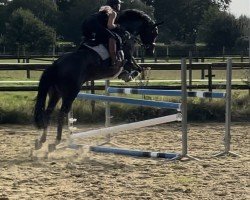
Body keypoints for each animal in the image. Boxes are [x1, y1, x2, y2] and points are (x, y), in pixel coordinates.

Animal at [33, 9, 162, 150]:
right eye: (154, 32)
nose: (151, 49)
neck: (126, 34)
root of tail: (56, 64)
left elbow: (138, 68)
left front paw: (127, 75)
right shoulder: (126, 60)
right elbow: (137, 68)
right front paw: (128, 75)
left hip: (56, 92)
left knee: (48, 112)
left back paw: (42, 140)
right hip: (71, 92)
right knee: (62, 112)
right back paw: (56, 140)